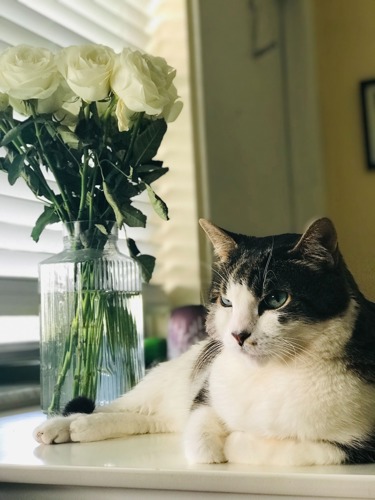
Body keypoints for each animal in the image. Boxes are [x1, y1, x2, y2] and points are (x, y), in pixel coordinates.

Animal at [31, 217, 375, 466]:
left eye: (277, 299)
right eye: (226, 301)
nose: (237, 335)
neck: (269, 375)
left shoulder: (357, 446)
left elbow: (289, 448)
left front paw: (235, 441)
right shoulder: (204, 395)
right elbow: (201, 431)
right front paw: (216, 443)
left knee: (149, 419)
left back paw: (76, 428)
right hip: (165, 381)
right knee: (118, 406)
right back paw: (63, 426)